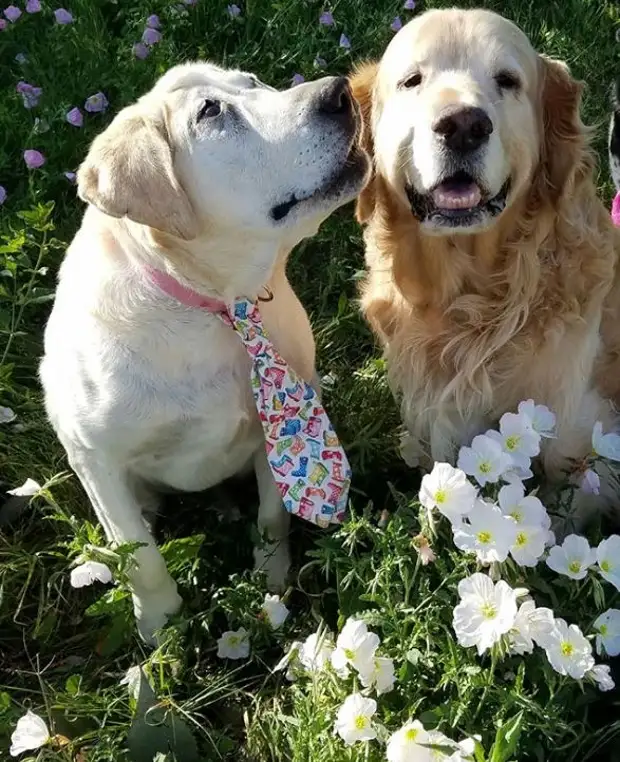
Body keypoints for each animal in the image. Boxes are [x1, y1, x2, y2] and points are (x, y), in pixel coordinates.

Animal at [41, 62, 370, 640]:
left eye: (254, 82)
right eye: (211, 113)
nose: (340, 92)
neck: (215, 305)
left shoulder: (275, 427)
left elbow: (273, 513)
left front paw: (271, 582)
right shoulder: (96, 459)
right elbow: (143, 559)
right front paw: (161, 625)